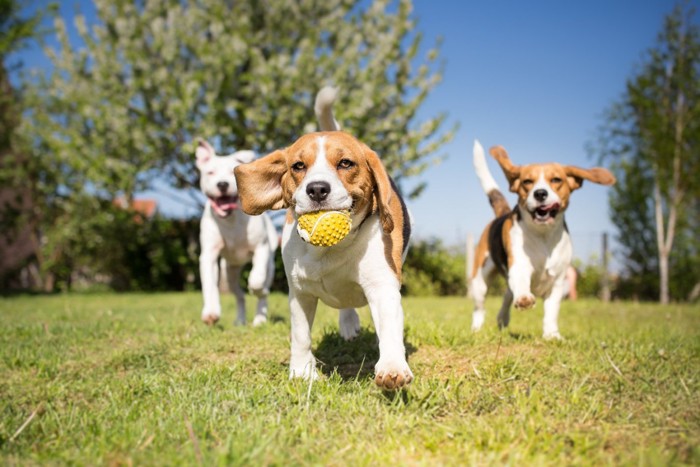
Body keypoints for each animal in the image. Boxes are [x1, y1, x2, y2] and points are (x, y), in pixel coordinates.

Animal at [196, 141, 278, 328]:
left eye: (231, 172)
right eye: (210, 172)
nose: (222, 184)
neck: (230, 219)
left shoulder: (261, 248)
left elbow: (256, 280)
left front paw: (257, 288)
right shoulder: (209, 255)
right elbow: (209, 285)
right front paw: (211, 313)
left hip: (270, 264)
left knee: (263, 289)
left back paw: (260, 318)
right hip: (229, 272)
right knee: (239, 296)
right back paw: (240, 320)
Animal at [235, 88, 412, 392]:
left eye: (345, 163)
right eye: (298, 166)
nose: (317, 189)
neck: (330, 250)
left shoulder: (382, 286)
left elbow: (390, 328)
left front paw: (392, 367)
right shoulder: (299, 293)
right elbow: (300, 335)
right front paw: (301, 372)